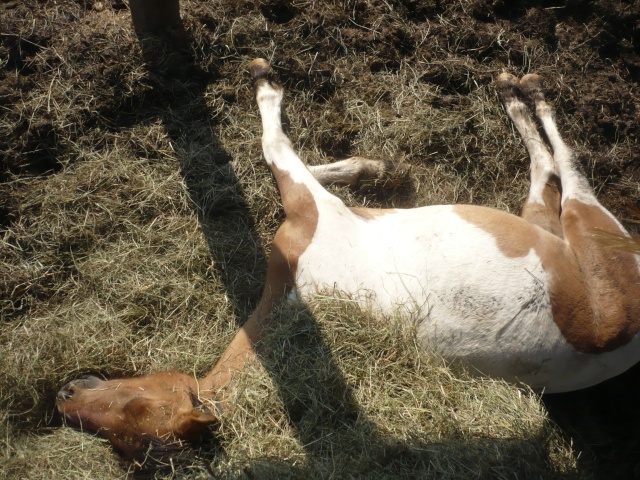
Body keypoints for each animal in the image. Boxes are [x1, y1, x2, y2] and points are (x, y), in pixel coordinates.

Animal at [56, 60, 640, 458]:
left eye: (133, 403)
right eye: (119, 436)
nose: (64, 394)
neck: (301, 301)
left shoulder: (311, 209)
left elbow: (281, 149)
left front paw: (375, 165)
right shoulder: (313, 208)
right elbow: (284, 151)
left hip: (570, 224)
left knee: (559, 164)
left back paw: (522, 92)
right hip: (566, 227)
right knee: (553, 170)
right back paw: (521, 93)